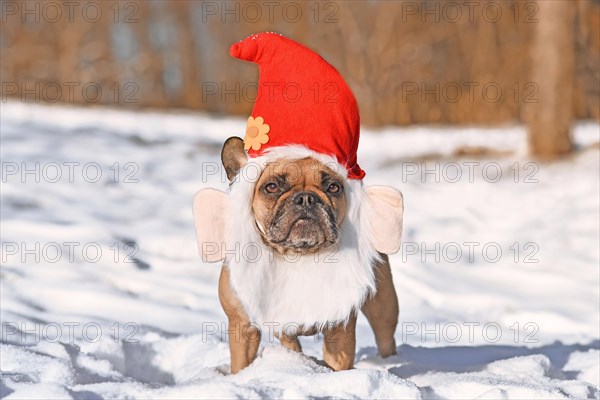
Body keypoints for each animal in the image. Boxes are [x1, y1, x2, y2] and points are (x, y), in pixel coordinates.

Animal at [195, 137, 406, 372]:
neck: (297, 255)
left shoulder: (339, 329)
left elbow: (338, 364)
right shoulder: (243, 324)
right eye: (272, 187)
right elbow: (241, 362)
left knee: (385, 335)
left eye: (333, 187)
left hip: (383, 304)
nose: (306, 198)